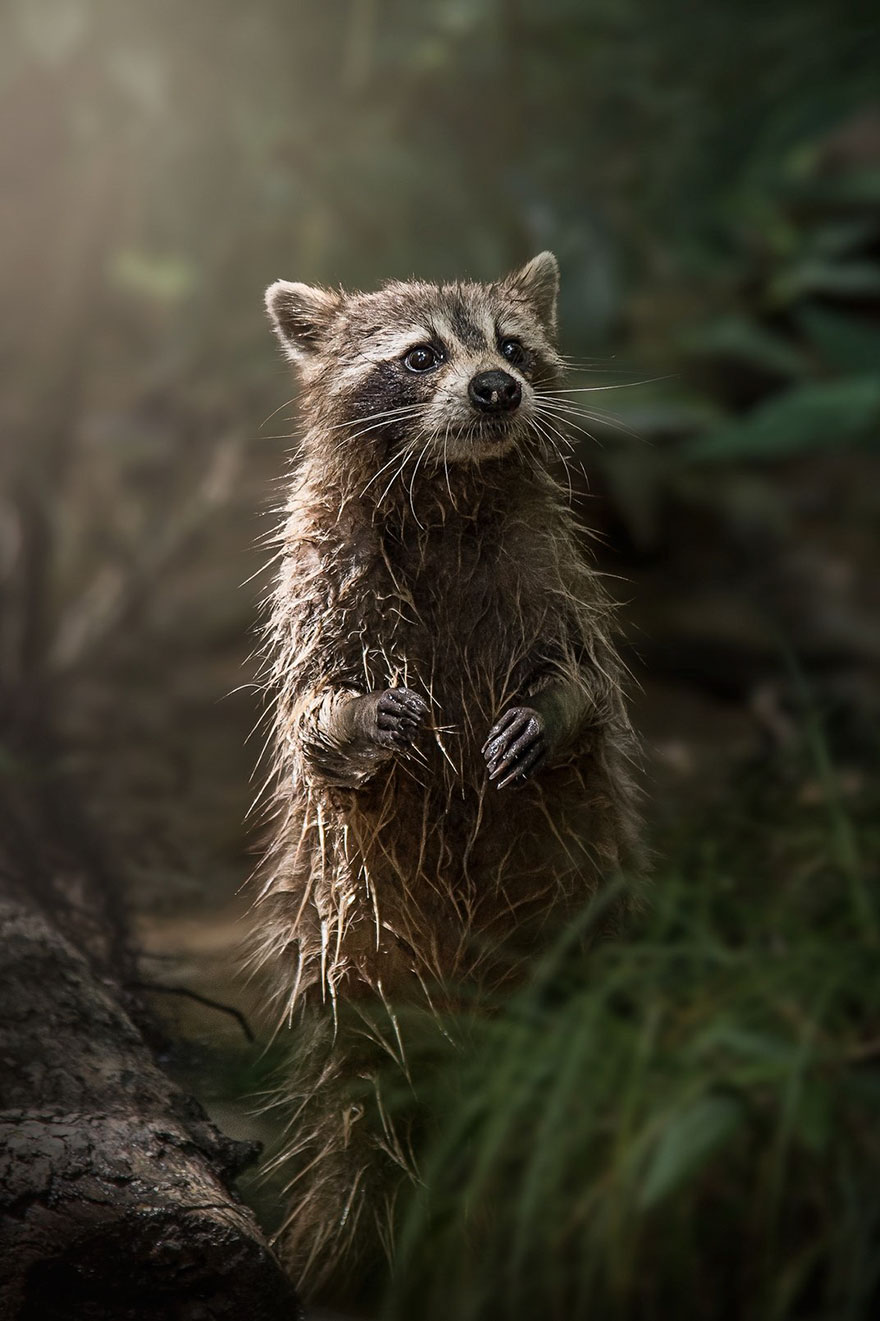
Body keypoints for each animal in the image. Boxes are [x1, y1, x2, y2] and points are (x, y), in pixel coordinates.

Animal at [252, 253, 642, 1293]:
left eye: (511, 345)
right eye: (421, 355)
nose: (497, 388)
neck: (451, 494)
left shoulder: (557, 578)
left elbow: (584, 680)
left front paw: (549, 714)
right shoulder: (322, 584)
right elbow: (313, 711)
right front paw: (356, 718)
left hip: (569, 919)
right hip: (354, 937)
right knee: (361, 1086)